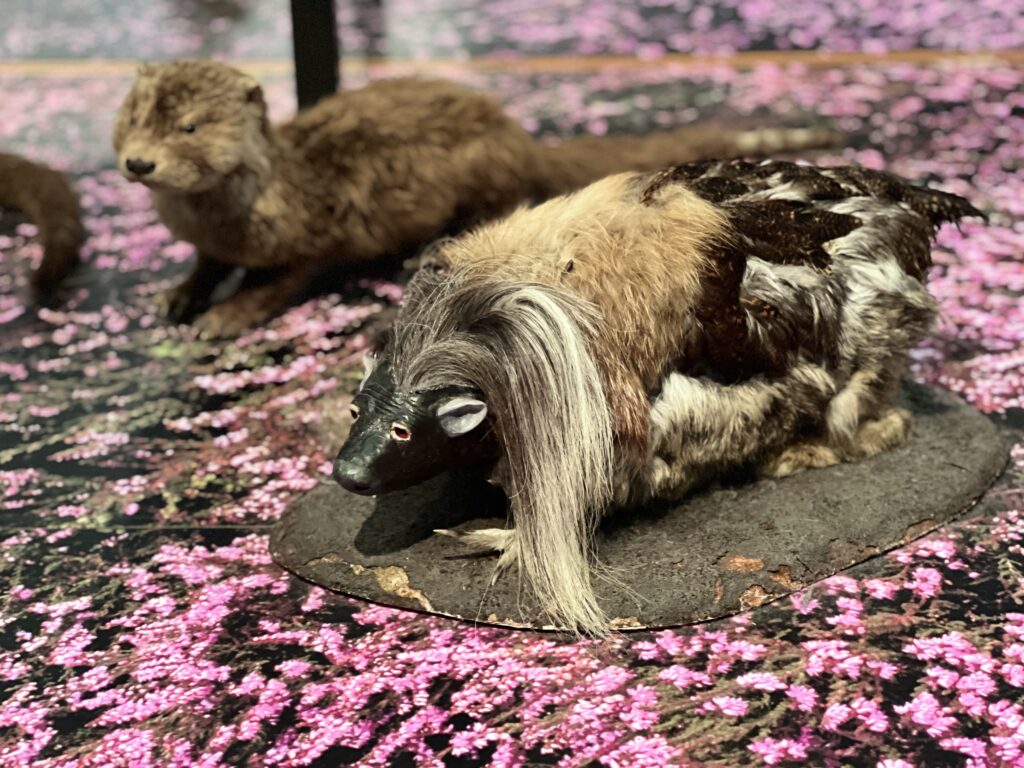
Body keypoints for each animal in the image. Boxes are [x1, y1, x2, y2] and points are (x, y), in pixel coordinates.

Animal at [114, 60, 839, 335]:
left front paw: (227, 314)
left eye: (189, 128)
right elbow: (204, 265)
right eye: (133, 117)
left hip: (482, 176)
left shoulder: (315, 228)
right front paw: (179, 295)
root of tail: (518, 136)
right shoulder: (209, 243)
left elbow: (286, 277)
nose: (138, 162)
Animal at [335, 159, 983, 634]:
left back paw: (805, 451)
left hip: (867, 362)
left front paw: (502, 541)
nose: (346, 472)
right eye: (355, 410)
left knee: (871, 414)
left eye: (403, 431)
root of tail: (914, 205)